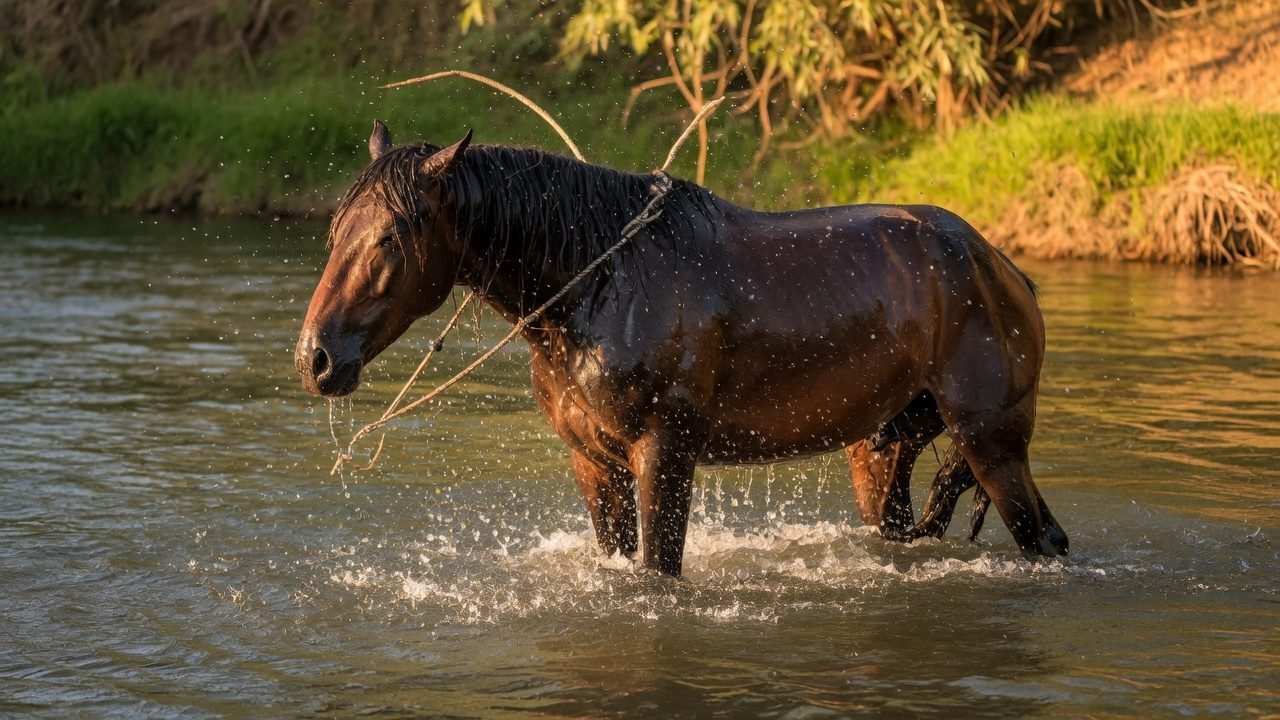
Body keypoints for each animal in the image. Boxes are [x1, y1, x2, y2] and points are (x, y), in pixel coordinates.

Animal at [295, 121, 1068, 577]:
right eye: (335, 232)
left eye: (389, 237)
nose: (316, 358)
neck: (600, 285)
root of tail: (1002, 266)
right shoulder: (594, 463)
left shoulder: (662, 454)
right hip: (884, 449)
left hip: (992, 440)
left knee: (1044, 539)